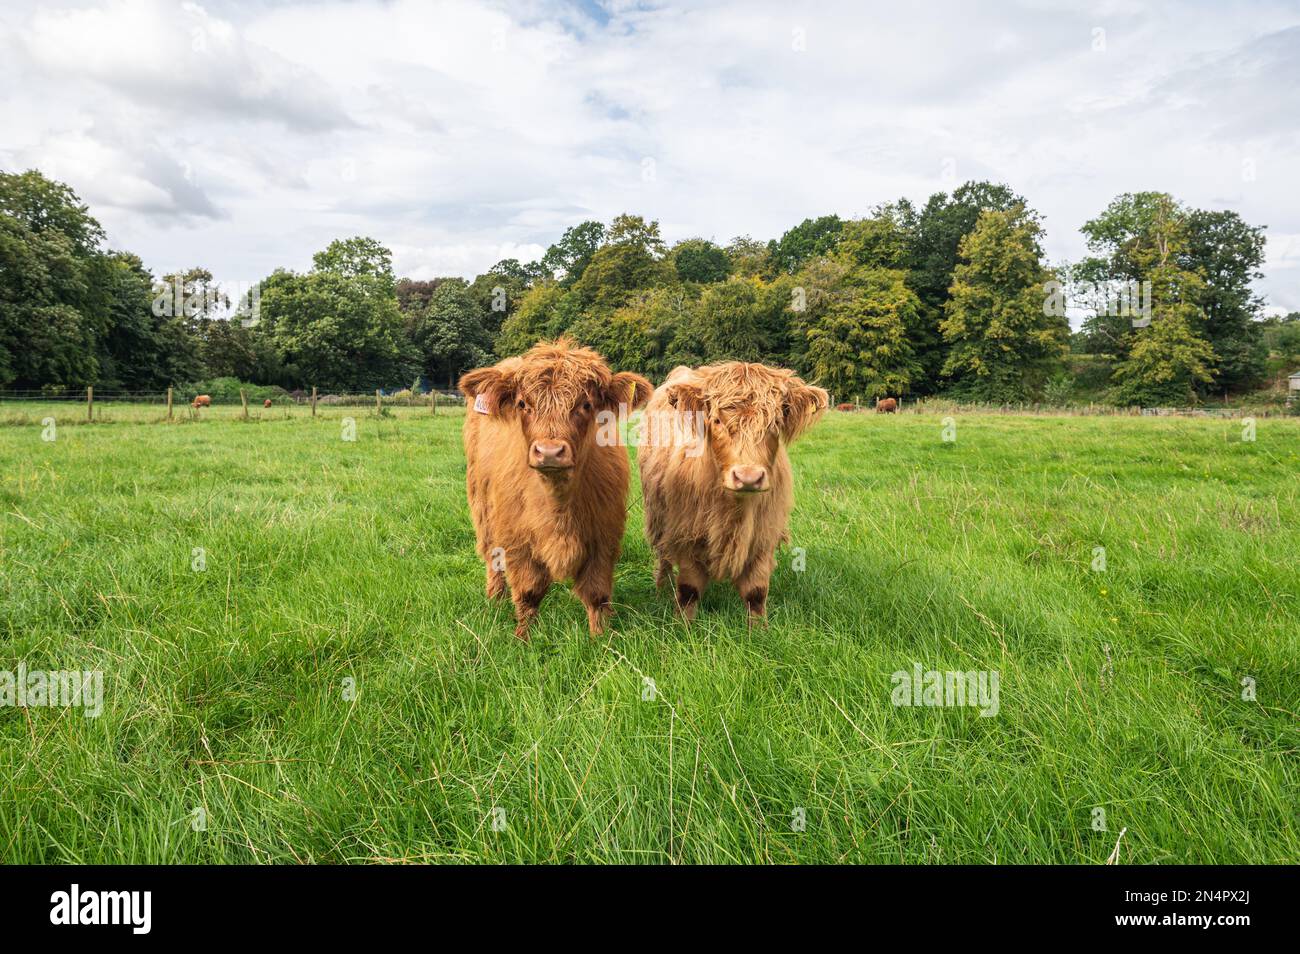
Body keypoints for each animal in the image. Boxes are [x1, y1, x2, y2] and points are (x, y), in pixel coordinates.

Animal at [458, 339, 653, 641]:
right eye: (523, 403)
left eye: (586, 404)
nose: (549, 452)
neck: (558, 507)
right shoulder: (516, 538)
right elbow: (528, 592)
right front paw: (523, 637)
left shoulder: (604, 535)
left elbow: (596, 593)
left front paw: (600, 637)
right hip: (481, 506)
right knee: (491, 554)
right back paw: (495, 598)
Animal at [638, 362, 828, 623]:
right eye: (717, 420)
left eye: (775, 423)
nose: (748, 477)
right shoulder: (686, 532)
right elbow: (688, 590)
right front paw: (682, 625)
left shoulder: (764, 536)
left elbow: (756, 592)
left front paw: (759, 628)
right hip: (657, 517)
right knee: (664, 557)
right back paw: (661, 590)